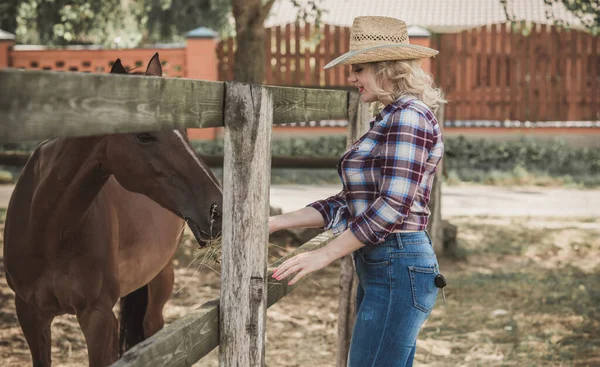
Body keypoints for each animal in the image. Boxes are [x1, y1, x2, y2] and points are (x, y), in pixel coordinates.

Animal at [2, 54, 223, 367]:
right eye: (144, 136)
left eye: (186, 131)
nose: (218, 208)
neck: (48, 230)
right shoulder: (30, 313)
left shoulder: (97, 317)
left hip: (161, 277)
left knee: (152, 325)